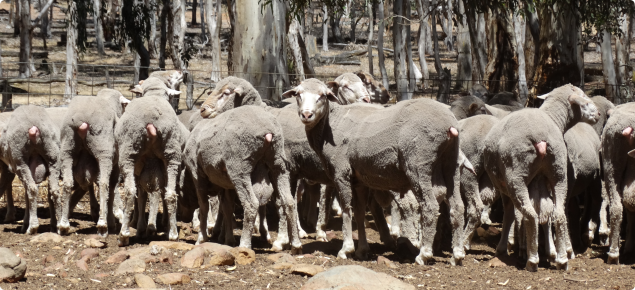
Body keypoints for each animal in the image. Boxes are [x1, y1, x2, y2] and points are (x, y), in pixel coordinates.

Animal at [0, 105, 61, 234]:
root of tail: (34, 127)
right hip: (52, 156)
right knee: (54, 190)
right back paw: (61, 226)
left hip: (19, 160)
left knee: (32, 189)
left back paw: (32, 227)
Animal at [57, 89, 130, 236]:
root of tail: (80, 118)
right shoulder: (114, 166)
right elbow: (111, 188)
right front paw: (111, 221)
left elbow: (89, 184)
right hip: (103, 149)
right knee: (103, 184)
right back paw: (102, 225)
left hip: (67, 148)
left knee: (67, 183)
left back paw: (63, 226)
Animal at [115, 76, 185, 245]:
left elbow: (140, 195)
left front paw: (139, 226)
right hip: (172, 154)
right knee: (170, 194)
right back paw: (172, 234)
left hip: (128, 152)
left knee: (130, 192)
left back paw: (123, 235)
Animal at [286, 77, 464, 266]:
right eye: (298, 94)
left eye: (322, 96)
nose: (306, 115)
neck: (330, 124)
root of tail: (449, 123)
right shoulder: (359, 181)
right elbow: (359, 212)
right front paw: (362, 250)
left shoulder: (342, 172)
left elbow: (347, 209)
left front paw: (346, 249)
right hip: (450, 163)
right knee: (458, 207)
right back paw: (457, 254)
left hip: (419, 164)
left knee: (430, 206)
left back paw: (424, 254)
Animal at [484, 84, 600, 272]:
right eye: (584, 98)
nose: (598, 114)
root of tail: (541, 137)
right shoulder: (540, 181)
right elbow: (544, 212)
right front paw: (549, 251)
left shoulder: (505, 186)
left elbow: (510, 214)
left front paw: (504, 248)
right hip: (558, 173)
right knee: (559, 213)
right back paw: (562, 259)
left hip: (515, 176)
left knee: (530, 214)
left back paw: (532, 261)